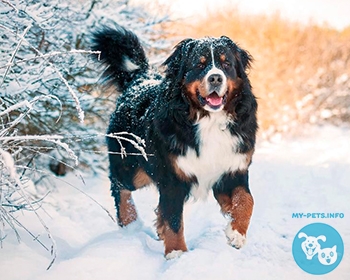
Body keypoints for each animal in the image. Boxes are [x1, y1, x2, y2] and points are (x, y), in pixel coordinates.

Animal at [91, 25, 258, 260]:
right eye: (199, 64)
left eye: (226, 64)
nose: (216, 78)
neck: (208, 120)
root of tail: (140, 79)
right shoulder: (172, 177)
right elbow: (174, 220)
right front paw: (176, 253)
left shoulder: (233, 169)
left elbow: (246, 201)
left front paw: (236, 234)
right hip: (134, 169)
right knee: (119, 185)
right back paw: (130, 222)